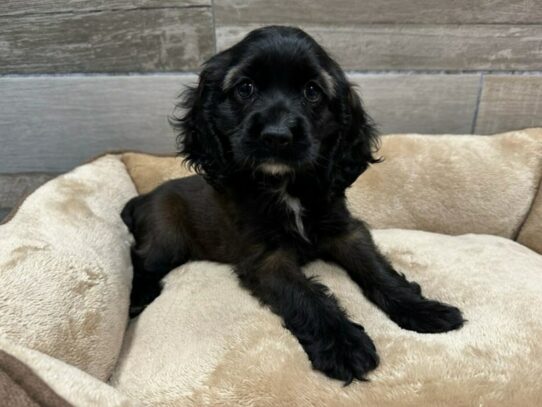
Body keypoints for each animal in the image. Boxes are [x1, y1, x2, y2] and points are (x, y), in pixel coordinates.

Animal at [121, 26, 466, 386]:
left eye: (312, 91)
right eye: (245, 88)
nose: (276, 135)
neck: (286, 186)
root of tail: (142, 198)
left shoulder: (345, 231)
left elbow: (379, 271)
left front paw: (425, 310)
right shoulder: (266, 258)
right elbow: (305, 297)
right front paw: (344, 346)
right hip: (166, 238)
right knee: (140, 258)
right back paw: (138, 297)